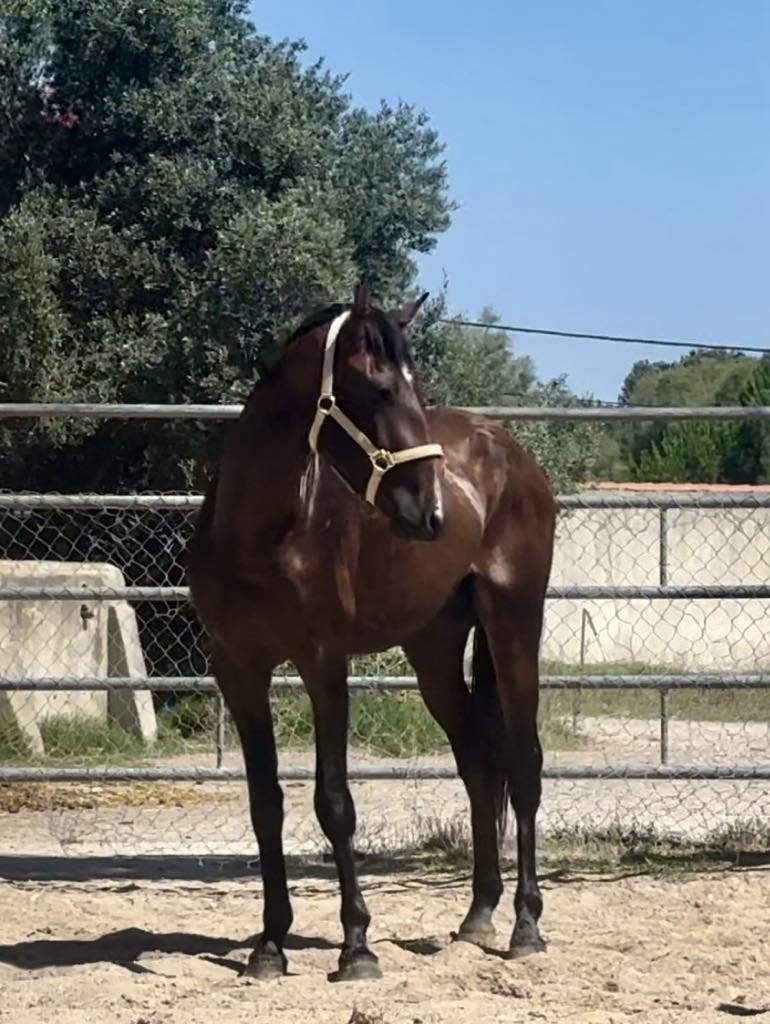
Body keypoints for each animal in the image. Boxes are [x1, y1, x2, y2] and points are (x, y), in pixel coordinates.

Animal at [188, 280, 557, 983]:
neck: (261, 533)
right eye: (381, 390)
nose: (431, 512)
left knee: (523, 764)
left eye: (419, 388)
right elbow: (265, 803)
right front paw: (269, 945)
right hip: (434, 650)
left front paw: (356, 946)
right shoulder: (238, 670)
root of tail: (511, 451)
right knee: (478, 764)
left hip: (515, 624)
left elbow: (335, 803)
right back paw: (477, 916)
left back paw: (525, 927)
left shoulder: (323, 664)